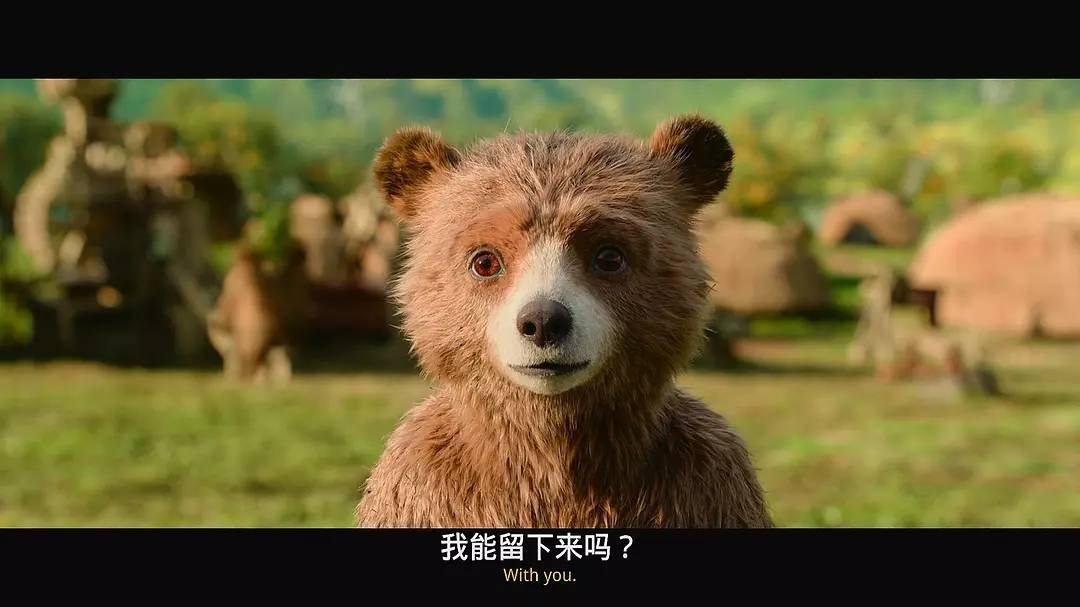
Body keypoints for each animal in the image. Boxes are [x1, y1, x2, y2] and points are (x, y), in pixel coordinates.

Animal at [356, 115, 772, 528]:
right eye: (485, 260)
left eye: (609, 256)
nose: (543, 321)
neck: (554, 458)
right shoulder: (425, 492)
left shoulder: (705, 487)